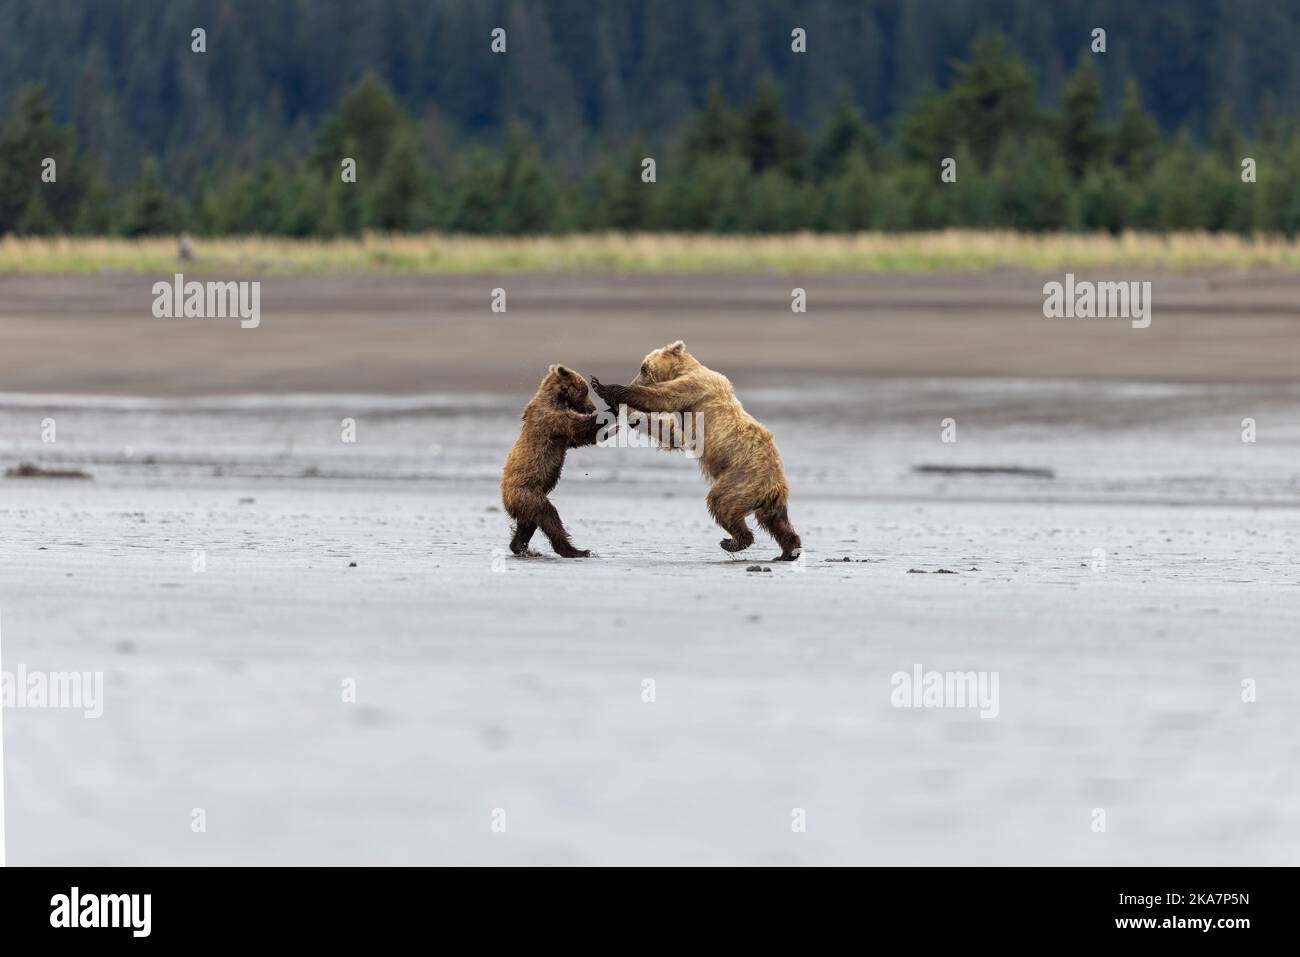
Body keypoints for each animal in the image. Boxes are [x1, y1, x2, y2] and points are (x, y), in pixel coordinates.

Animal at [504, 366, 611, 561]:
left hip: (526, 504)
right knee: (549, 517)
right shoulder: (553, 419)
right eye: (585, 391)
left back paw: (522, 548)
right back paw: (576, 550)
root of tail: (505, 501)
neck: (557, 400)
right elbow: (579, 428)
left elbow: (578, 439)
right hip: (529, 494)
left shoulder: (560, 429)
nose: (591, 407)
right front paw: (612, 412)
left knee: (527, 525)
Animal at [592, 340, 800, 561]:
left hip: (741, 480)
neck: (684, 370)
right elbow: (672, 435)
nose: (635, 379)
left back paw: (733, 541)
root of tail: (775, 486)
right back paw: (788, 551)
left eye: (643, 367)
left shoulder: (693, 390)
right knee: (777, 523)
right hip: (767, 499)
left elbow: (660, 398)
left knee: (721, 503)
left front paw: (603, 388)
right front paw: (628, 413)